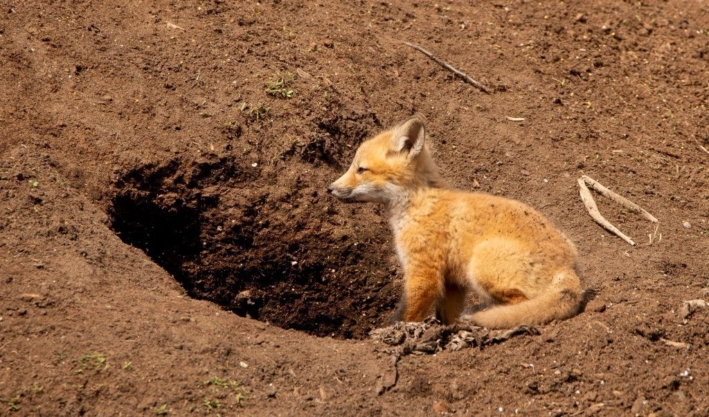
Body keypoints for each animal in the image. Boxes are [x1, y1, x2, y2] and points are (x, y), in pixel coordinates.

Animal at [327, 116, 584, 328]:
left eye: (361, 169)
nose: (329, 189)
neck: (419, 204)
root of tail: (568, 268)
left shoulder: (424, 273)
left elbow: (405, 316)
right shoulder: (451, 283)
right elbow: (446, 315)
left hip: (481, 264)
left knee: (521, 303)